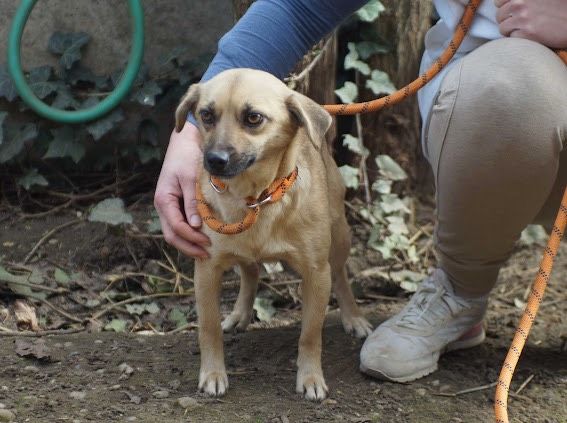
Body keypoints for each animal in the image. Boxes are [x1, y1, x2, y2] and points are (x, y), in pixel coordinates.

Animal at [176, 68, 372, 400]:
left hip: (340, 238)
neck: (255, 197)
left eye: (254, 118)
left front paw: (310, 378)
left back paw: (353, 316)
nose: (214, 160)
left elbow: (310, 334)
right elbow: (208, 329)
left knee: (341, 275)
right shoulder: (206, 270)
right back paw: (240, 313)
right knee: (250, 271)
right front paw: (213, 373)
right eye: (206, 115)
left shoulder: (316, 274)